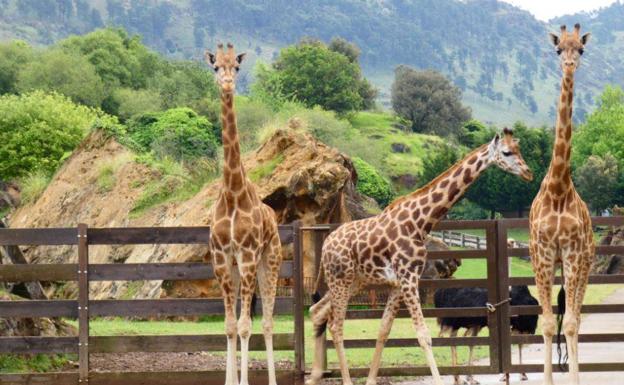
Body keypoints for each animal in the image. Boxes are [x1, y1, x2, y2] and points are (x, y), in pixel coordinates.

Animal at [306, 128, 532, 384]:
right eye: (506, 152)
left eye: (519, 149)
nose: (528, 172)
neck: (420, 223)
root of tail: (326, 245)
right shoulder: (408, 278)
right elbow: (424, 334)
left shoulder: (398, 283)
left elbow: (384, 330)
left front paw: (372, 379)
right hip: (340, 279)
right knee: (336, 325)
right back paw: (342, 379)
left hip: (356, 281)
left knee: (318, 311)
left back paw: (314, 376)